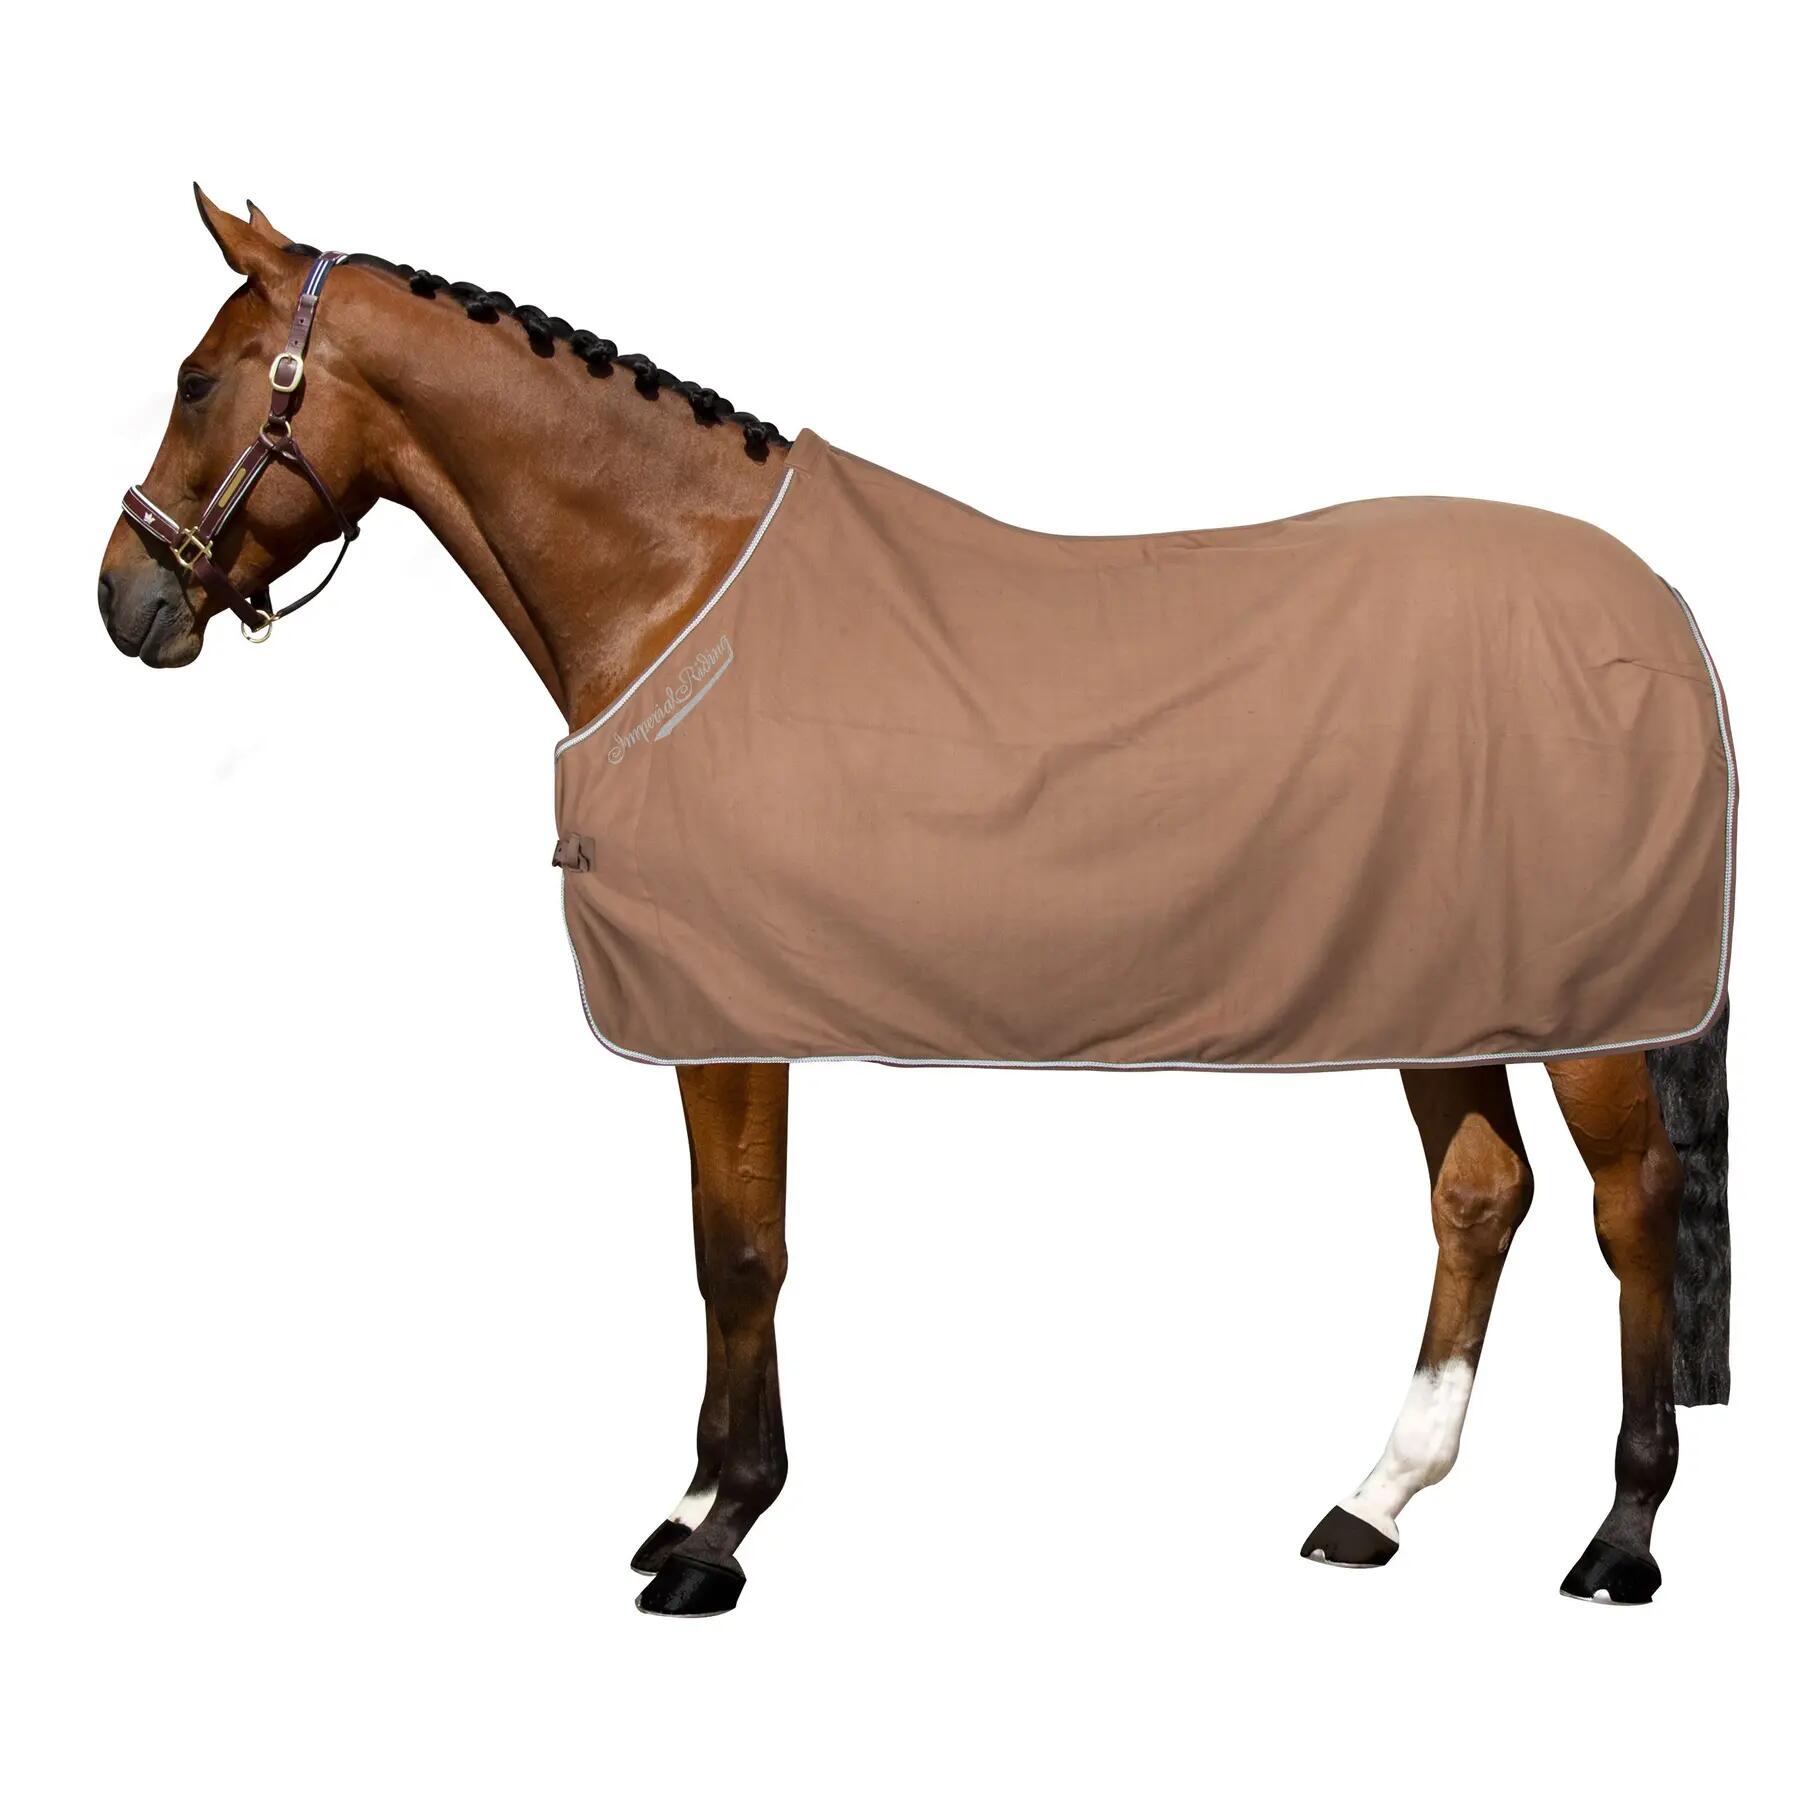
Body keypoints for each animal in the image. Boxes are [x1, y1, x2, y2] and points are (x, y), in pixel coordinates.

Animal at [97, 190, 1733, 1618]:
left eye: (196, 380)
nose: (125, 599)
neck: (682, 591)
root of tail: (1662, 615)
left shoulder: (725, 1014)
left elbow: (743, 1252)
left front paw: (720, 1538)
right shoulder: (711, 1015)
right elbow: (720, 1241)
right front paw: (687, 1509)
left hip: (1587, 1012)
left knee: (1632, 1206)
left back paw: (1621, 1536)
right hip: (1438, 989)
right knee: (1481, 1197)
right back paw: (1373, 1504)